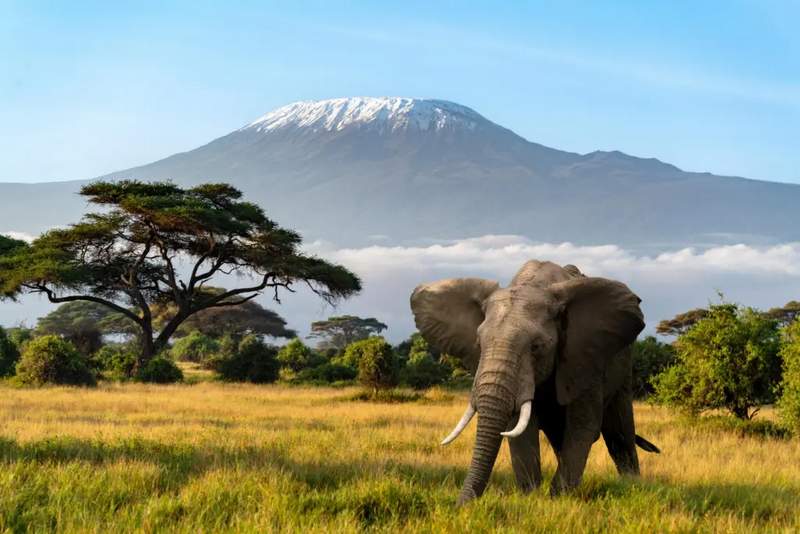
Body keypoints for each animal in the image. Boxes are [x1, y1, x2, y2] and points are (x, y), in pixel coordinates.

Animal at [409, 260, 660, 505]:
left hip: (622, 366)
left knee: (620, 435)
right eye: (479, 344)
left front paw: (559, 500)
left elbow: (583, 427)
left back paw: (631, 485)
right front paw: (532, 498)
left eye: (536, 347)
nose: (461, 506)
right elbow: (520, 430)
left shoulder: (583, 357)